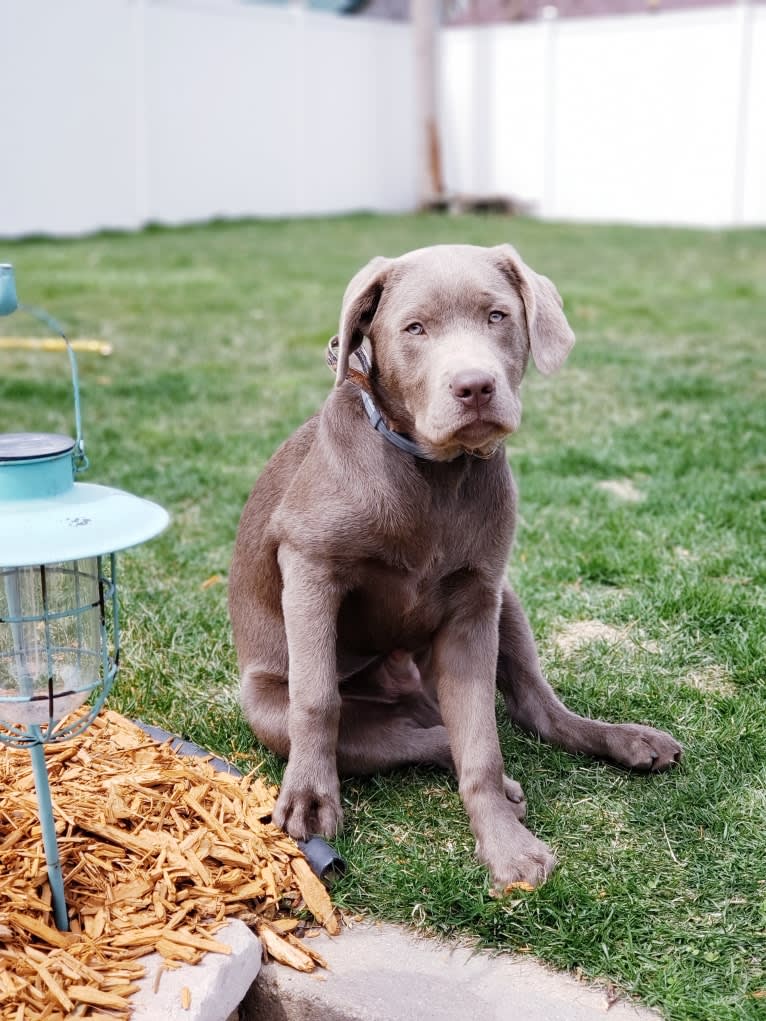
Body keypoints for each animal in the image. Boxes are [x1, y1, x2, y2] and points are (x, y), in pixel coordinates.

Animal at [229, 242, 682, 890]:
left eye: (497, 316)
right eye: (414, 328)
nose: (474, 386)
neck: (434, 474)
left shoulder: (474, 605)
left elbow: (484, 743)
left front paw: (506, 849)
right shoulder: (311, 565)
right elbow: (318, 699)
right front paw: (311, 803)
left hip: (505, 599)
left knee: (532, 709)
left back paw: (626, 741)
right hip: (268, 709)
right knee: (407, 734)